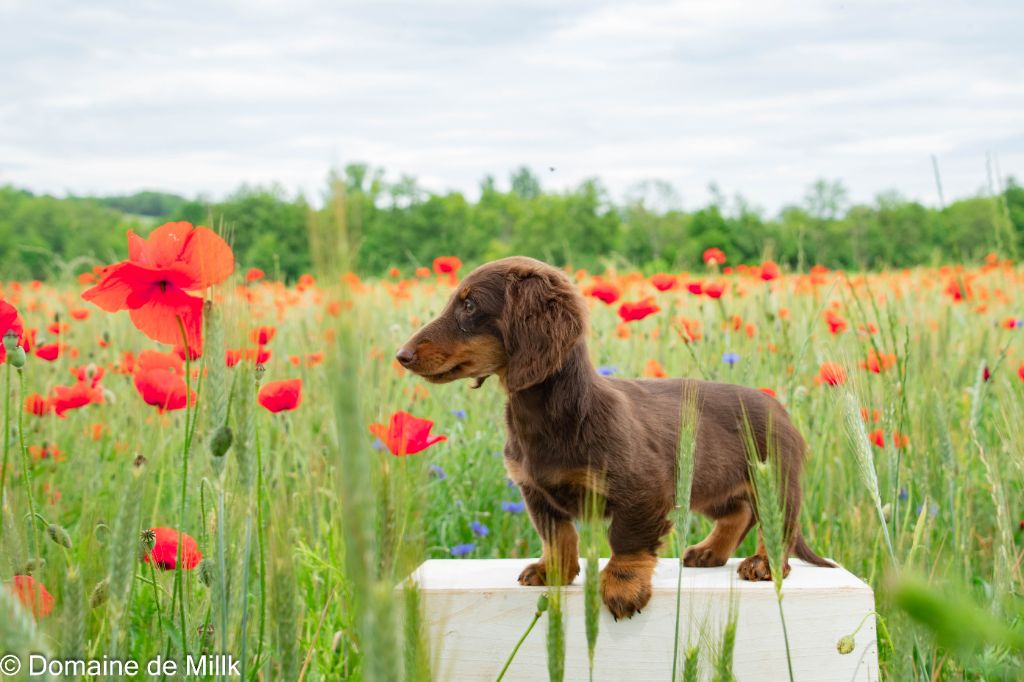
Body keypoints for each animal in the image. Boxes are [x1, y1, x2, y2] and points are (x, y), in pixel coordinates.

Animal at [391, 254, 831, 614]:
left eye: (469, 305)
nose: (401, 356)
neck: (552, 415)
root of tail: (780, 408)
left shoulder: (643, 490)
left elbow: (626, 538)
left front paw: (622, 586)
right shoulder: (535, 492)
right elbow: (557, 534)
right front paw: (554, 570)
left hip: (773, 481)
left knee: (777, 526)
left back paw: (763, 563)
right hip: (713, 483)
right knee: (737, 513)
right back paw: (710, 552)